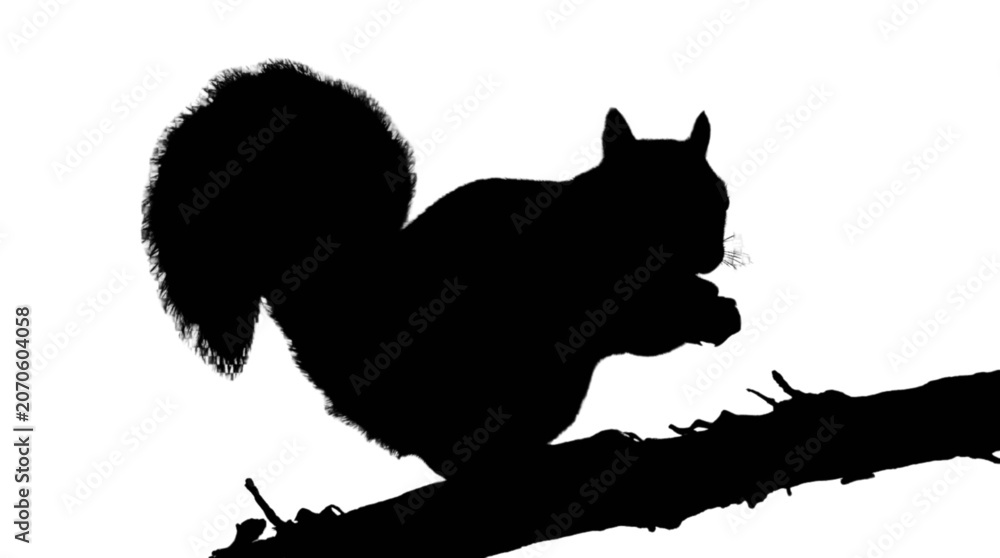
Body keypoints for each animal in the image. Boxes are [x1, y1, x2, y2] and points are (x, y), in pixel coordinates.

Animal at [141, 59, 741, 477]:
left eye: (721, 198)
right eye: (649, 196)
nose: (709, 254)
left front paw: (709, 298)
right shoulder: (581, 280)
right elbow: (641, 327)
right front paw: (708, 311)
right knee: (461, 458)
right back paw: (578, 450)